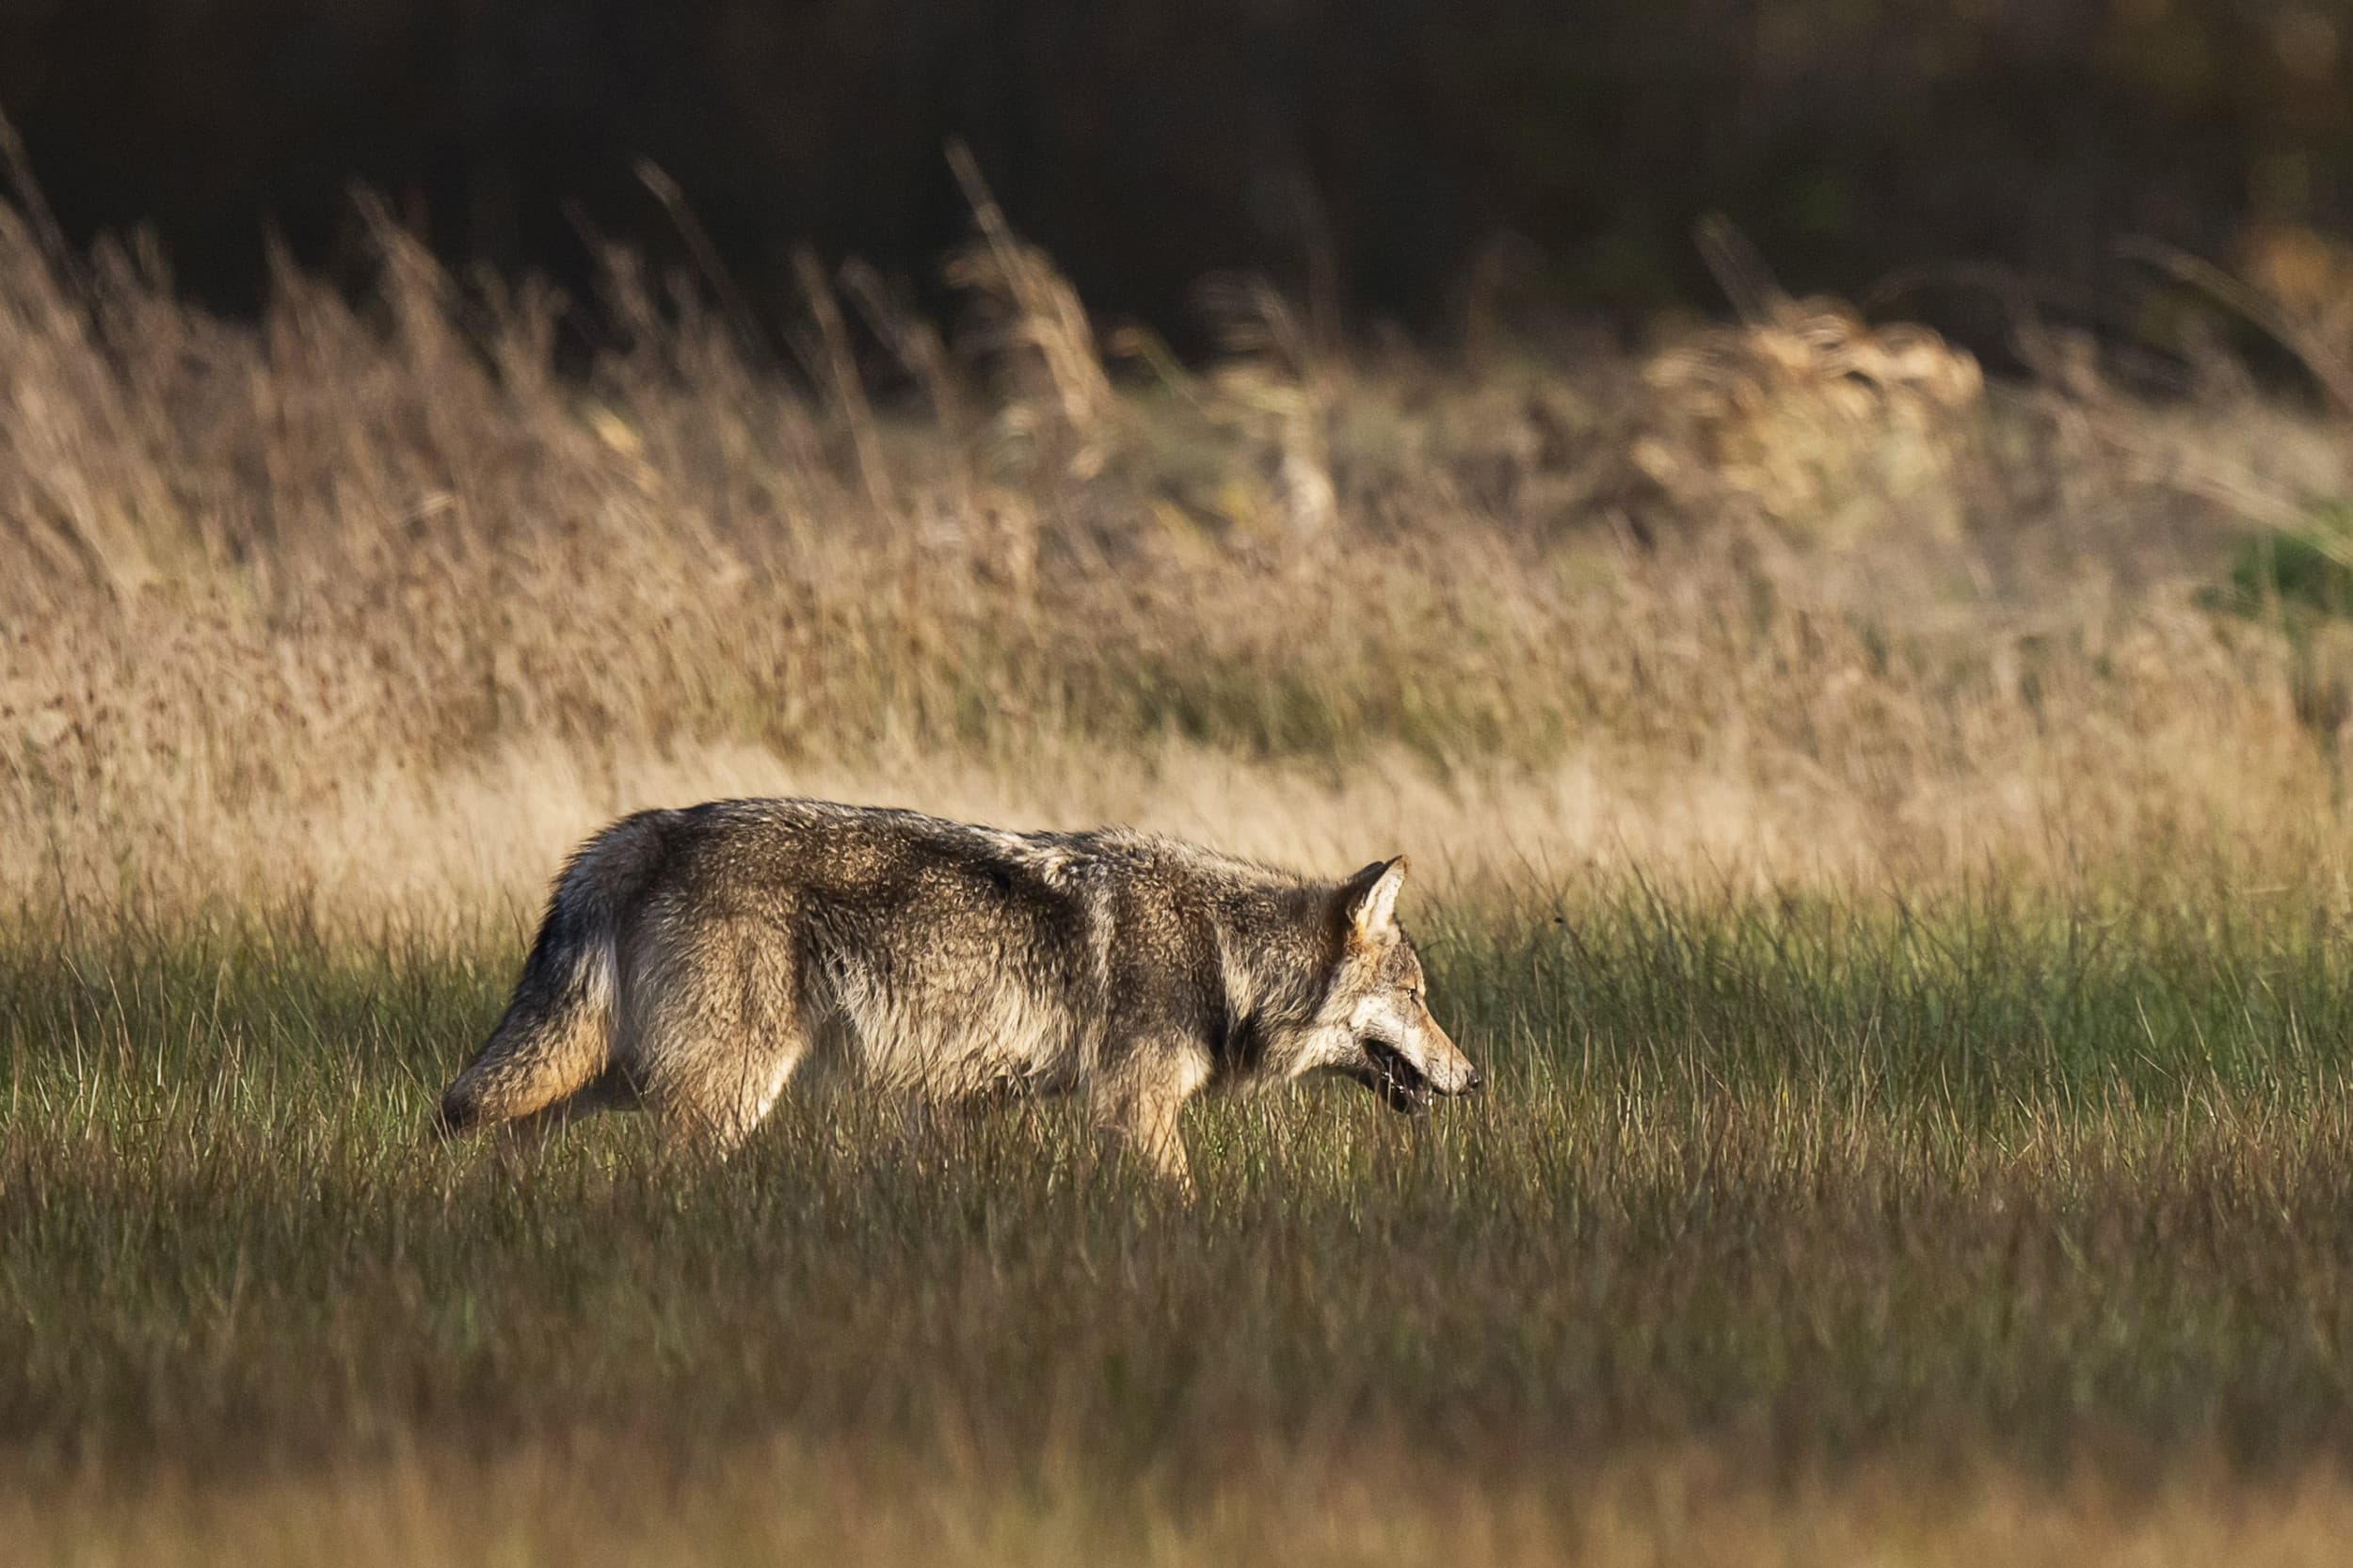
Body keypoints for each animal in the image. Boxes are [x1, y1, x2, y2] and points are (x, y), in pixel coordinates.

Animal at [433, 799, 1479, 1187]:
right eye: (1419, 996)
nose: (1474, 1077)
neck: (1223, 953)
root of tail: (641, 830)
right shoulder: (1133, 1109)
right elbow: (1184, 1198)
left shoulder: (958, 1103)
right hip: (722, 1090)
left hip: (610, 1075)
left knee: (502, 1127)